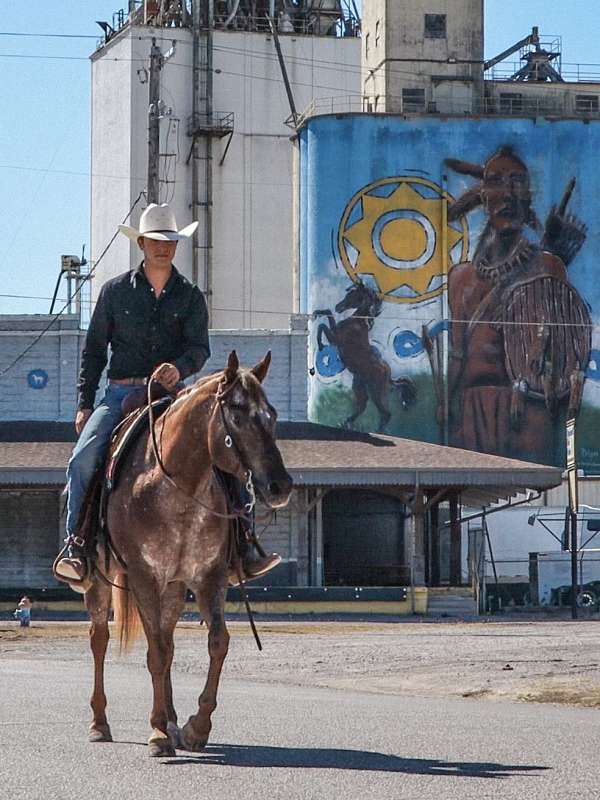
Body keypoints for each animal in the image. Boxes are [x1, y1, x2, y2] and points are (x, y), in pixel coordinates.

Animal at [82, 350, 292, 756]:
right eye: (237, 415)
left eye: (271, 414)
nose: (280, 485)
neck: (177, 485)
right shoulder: (144, 577)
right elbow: (155, 654)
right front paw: (157, 733)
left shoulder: (208, 576)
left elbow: (216, 643)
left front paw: (195, 727)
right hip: (99, 579)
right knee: (100, 640)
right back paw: (100, 723)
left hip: (175, 588)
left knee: (168, 640)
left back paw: (173, 721)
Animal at [314, 282, 418, 432]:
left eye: (353, 295)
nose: (338, 307)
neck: (358, 323)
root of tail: (388, 374)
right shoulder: (335, 336)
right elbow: (326, 316)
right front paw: (316, 314)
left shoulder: (335, 339)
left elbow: (323, 323)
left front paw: (321, 344)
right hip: (360, 386)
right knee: (362, 407)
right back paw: (346, 423)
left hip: (376, 392)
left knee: (385, 413)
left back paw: (377, 431)